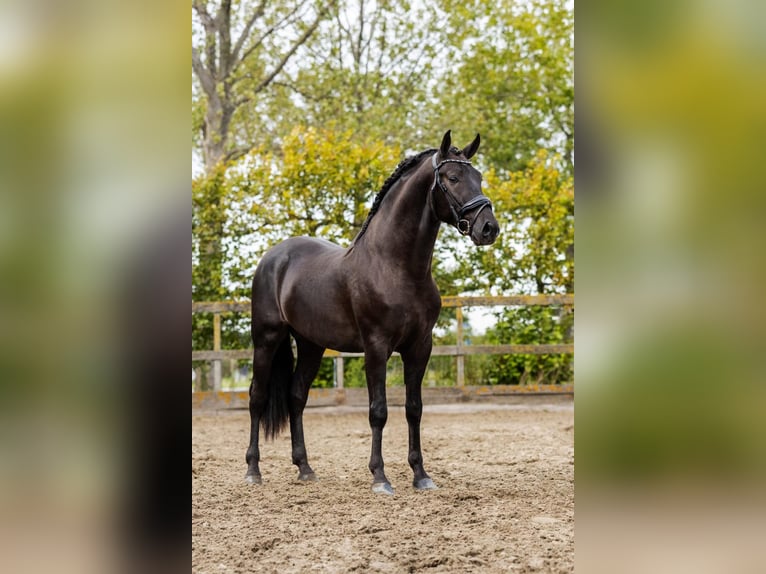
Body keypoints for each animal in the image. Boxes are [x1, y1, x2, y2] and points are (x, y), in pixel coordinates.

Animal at [243, 132, 500, 496]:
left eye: (478, 176)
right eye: (453, 178)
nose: (489, 228)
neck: (396, 266)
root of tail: (273, 257)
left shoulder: (420, 348)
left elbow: (414, 409)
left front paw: (421, 475)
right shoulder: (376, 348)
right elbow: (378, 411)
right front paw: (380, 477)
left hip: (310, 344)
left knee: (296, 397)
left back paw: (305, 468)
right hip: (266, 339)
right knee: (257, 397)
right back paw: (253, 470)